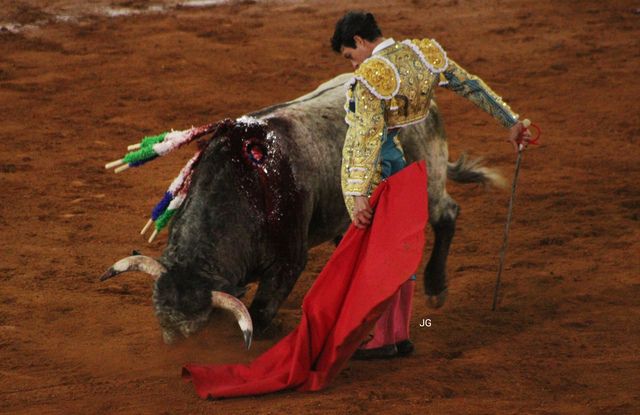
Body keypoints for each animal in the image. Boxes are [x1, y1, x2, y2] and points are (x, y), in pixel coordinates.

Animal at [100, 73, 503, 347]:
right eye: (160, 321)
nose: (175, 350)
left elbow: (260, 312)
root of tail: (425, 102)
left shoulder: (289, 262)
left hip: (429, 175)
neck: (244, 187)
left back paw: (436, 287)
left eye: (196, 331)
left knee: (446, 214)